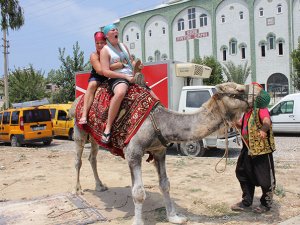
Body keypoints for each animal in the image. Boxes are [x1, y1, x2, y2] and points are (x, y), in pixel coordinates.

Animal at [69, 81, 262, 224]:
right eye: (240, 89)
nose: (260, 90)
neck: (161, 123)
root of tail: (76, 102)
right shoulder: (133, 152)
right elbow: (138, 192)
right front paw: (138, 222)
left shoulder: (159, 151)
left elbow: (165, 184)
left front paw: (174, 216)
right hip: (80, 130)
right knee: (78, 159)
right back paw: (77, 190)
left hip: (94, 136)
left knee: (92, 157)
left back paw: (100, 186)